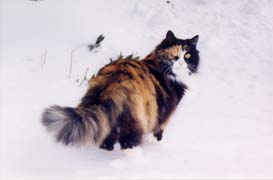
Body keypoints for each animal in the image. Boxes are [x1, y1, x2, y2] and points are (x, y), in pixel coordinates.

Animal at [41, 31, 199, 150]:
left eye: (187, 55)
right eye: (174, 54)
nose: (180, 62)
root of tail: (113, 80)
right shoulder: (166, 110)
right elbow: (159, 129)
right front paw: (156, 142)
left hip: (111, 115)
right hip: (135, 117)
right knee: (128, 140)